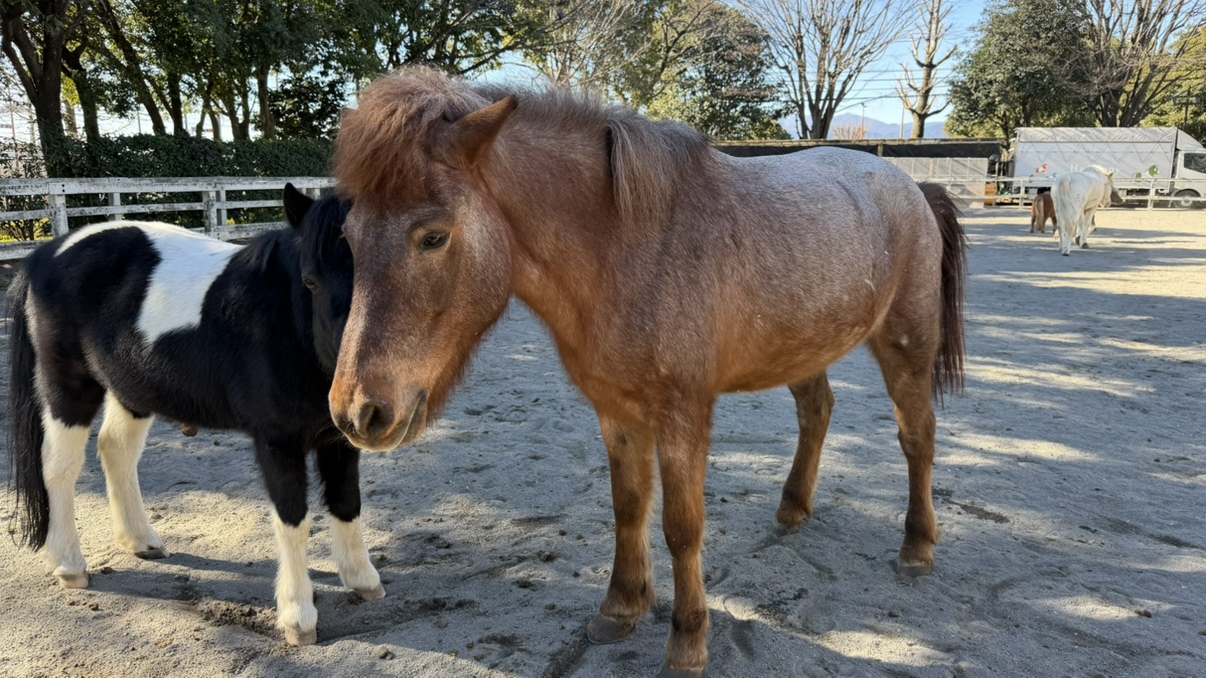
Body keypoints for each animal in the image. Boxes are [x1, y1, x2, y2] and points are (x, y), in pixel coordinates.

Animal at [6, 185, 378, 646]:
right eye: (311, 280)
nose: (356, 380)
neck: (287, 323)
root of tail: (46, 254)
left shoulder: (338, 440)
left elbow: (346, 502)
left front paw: (362, 579)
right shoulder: (277, 441)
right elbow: (294, 520)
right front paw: (298, 615)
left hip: (133, 388)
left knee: (116, 449)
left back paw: (141, 540)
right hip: (68, 390)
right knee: (59, 468)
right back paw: (70, 564)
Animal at [327, 67, 967, 677]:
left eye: (433, 237)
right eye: (348, 237)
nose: (357, 411)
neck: (627, 246)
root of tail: (911, 186)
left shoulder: (683, 413)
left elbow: (682, 527)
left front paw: (687, 644)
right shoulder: (618, 411)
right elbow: (628, 507)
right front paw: (620, 609)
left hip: (905, 344)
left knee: (918, 436)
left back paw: (917, 547)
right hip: (805, 346)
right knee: (818, 411)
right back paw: (792, 510)